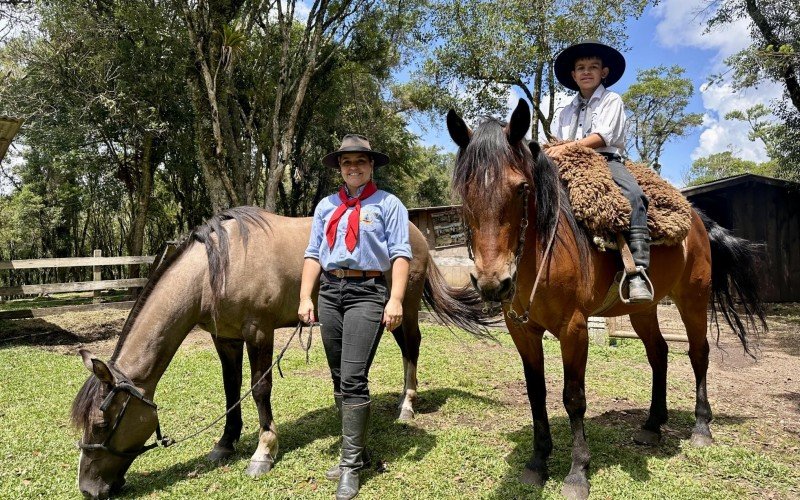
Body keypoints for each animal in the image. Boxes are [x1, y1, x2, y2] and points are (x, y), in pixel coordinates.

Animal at [72, 207, 488, 500]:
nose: (89, 489)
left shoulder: (259, 332)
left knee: (411, 348)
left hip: (406, 308)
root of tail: (414, 230)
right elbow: (231, 390)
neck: (215, 270)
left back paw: (406, 406)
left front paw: (263, 452)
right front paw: (224, 444)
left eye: (102, 424)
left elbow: (259, 390)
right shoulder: (225, 339)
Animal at [446, 99, 764, 498]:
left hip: (693, 297)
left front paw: (577, 472)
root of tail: (696, 219)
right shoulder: (522, 331)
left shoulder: (574, 328)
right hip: (644, 308)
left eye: (520, 189)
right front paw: (537, 462)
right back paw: (652, 425)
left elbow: (573, 397)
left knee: (698, 353)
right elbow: (536, 393)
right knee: (658, 353)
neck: (545, 248)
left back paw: (701, 428)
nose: (493, 283)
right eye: (464, 193)